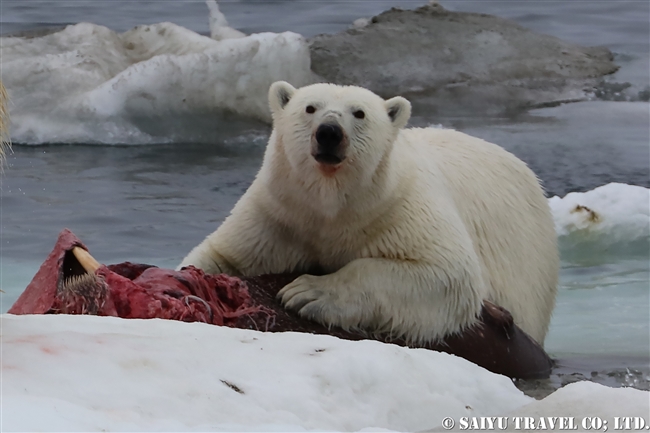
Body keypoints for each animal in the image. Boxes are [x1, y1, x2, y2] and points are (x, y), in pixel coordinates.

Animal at [181, 81, 556, 344]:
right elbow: (223, 255)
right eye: (310, 108)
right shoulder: (279, 214)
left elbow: (446, 273)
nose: (329, 132)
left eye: (359, 113)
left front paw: (307, 292)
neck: (332, 206)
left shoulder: (400, 208)